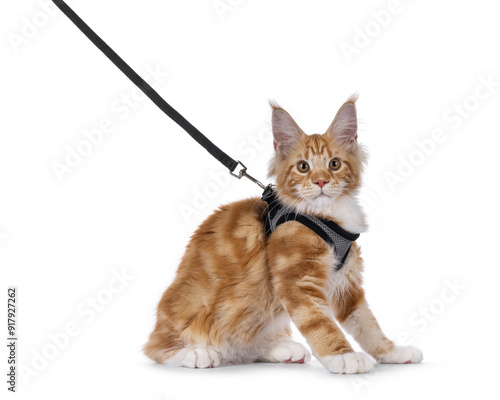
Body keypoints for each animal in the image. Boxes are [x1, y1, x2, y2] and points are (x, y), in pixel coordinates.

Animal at [145, 95, 422, 374]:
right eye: (303, 167)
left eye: (334, 164)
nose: (321, 181)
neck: (326, 215)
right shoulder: (297, 282)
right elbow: (321, 324)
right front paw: (344, 356)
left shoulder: (346, 284)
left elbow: (368, 324)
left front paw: (393, 352)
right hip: (193, 306)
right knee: (156, 347)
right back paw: (196, 352)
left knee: (246, 349)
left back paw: (281, 350)